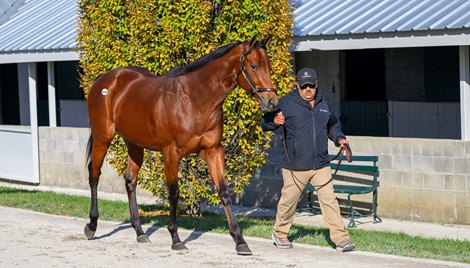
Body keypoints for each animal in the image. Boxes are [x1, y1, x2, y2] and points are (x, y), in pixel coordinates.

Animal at [83, 36, 280, 254]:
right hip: (103, 137)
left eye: (269, 66)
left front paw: (240, 241)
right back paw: (92, 226)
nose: (272, 103)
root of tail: (104, 80)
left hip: (134, 144)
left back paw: (140, 232)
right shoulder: (171, 152)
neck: (194, 99)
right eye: (254, 66)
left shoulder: (214, 151)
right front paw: (176, 238)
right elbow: (174, 193)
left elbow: (224, 192)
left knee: (130, 180)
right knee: (94, 174)